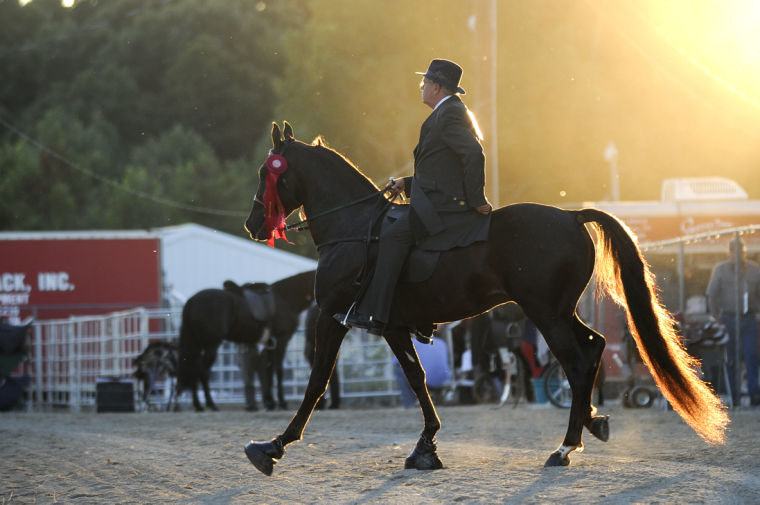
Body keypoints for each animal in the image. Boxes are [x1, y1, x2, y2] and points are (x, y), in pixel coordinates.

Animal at [177, 270, 316, 412]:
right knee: (202, 371)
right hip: (211, 346)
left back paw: (198, 405)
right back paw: (210, 404)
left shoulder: (270, 343)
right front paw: (282, 403)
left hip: (196, 345)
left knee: (193, 368)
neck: (285, 298)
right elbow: (278, 370)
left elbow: (269, 372)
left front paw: (270, 403)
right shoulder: (282, 339)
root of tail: (192, 300)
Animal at [240, 121, 728, 472]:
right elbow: (417, 379)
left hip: (545, 314)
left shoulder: (332, 316)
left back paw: (565, 447)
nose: (253, 224)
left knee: (576, 362)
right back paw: (592, 422)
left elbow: (317, 382)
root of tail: (571, 216)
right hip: (558, 312)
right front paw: (426, 446)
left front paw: (274, 445)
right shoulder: (391, 325)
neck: (355, 228)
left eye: (267, 172)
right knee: (594, 348)